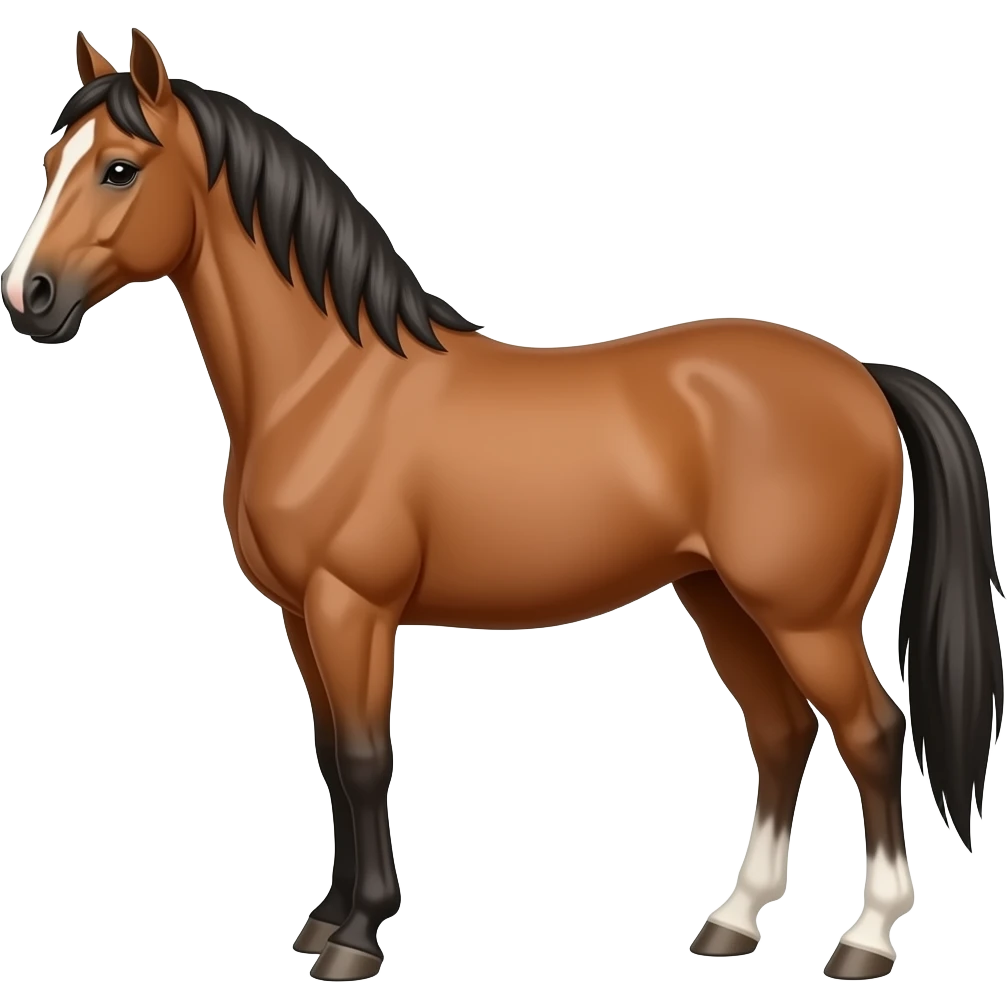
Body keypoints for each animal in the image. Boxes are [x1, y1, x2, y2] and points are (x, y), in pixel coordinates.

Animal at [3, 29, 1002, 984]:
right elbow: (330, 755)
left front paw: (357, 938)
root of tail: (862, 377)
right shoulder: (301, 615)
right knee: (782, 731)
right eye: (52, 161)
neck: (329, 384)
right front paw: (325, 918)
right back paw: (732, 922)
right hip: (721, 599)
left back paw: (866, 942)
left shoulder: (352, 608)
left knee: (872, 734)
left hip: (806, 615)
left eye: (119, 168)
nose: (29, 297)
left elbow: (364, 759)